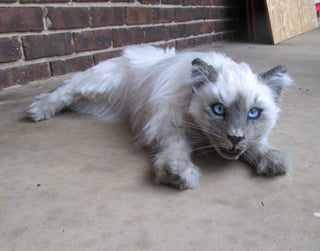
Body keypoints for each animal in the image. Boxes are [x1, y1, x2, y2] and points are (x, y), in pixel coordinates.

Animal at [28, 45, 292, 189]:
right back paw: (38, 110)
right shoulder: (167, 124)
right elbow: (176, 149)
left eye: (253, 113)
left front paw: (273, 159)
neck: (201, 133)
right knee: (65, 90)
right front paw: (178, 174)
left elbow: (256, 144)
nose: (235, 138)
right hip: (97, 85)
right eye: (218, 109)